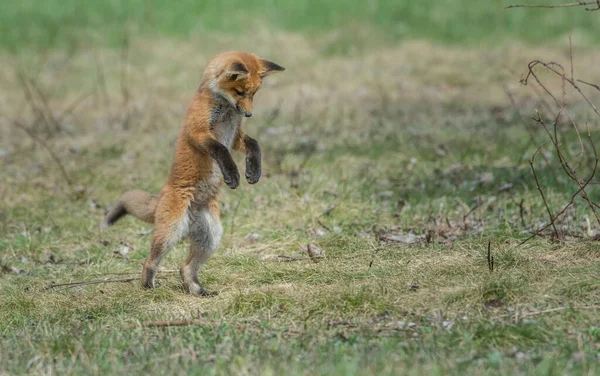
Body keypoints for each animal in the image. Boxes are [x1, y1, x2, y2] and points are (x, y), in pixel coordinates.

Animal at [103, 51, 286, 296]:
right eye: (239, 92)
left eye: (254, 93)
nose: (248, 114)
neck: (225, 108)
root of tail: (161, 196)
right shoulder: (198, 132)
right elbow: (221, 150)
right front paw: (232, 174)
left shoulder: (236, 136)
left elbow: (254, 144)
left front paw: (253, 171)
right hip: (170, 232)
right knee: (149, 262)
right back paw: (149, 286)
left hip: (211, 238)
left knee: (185, 268)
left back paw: (198, 290)